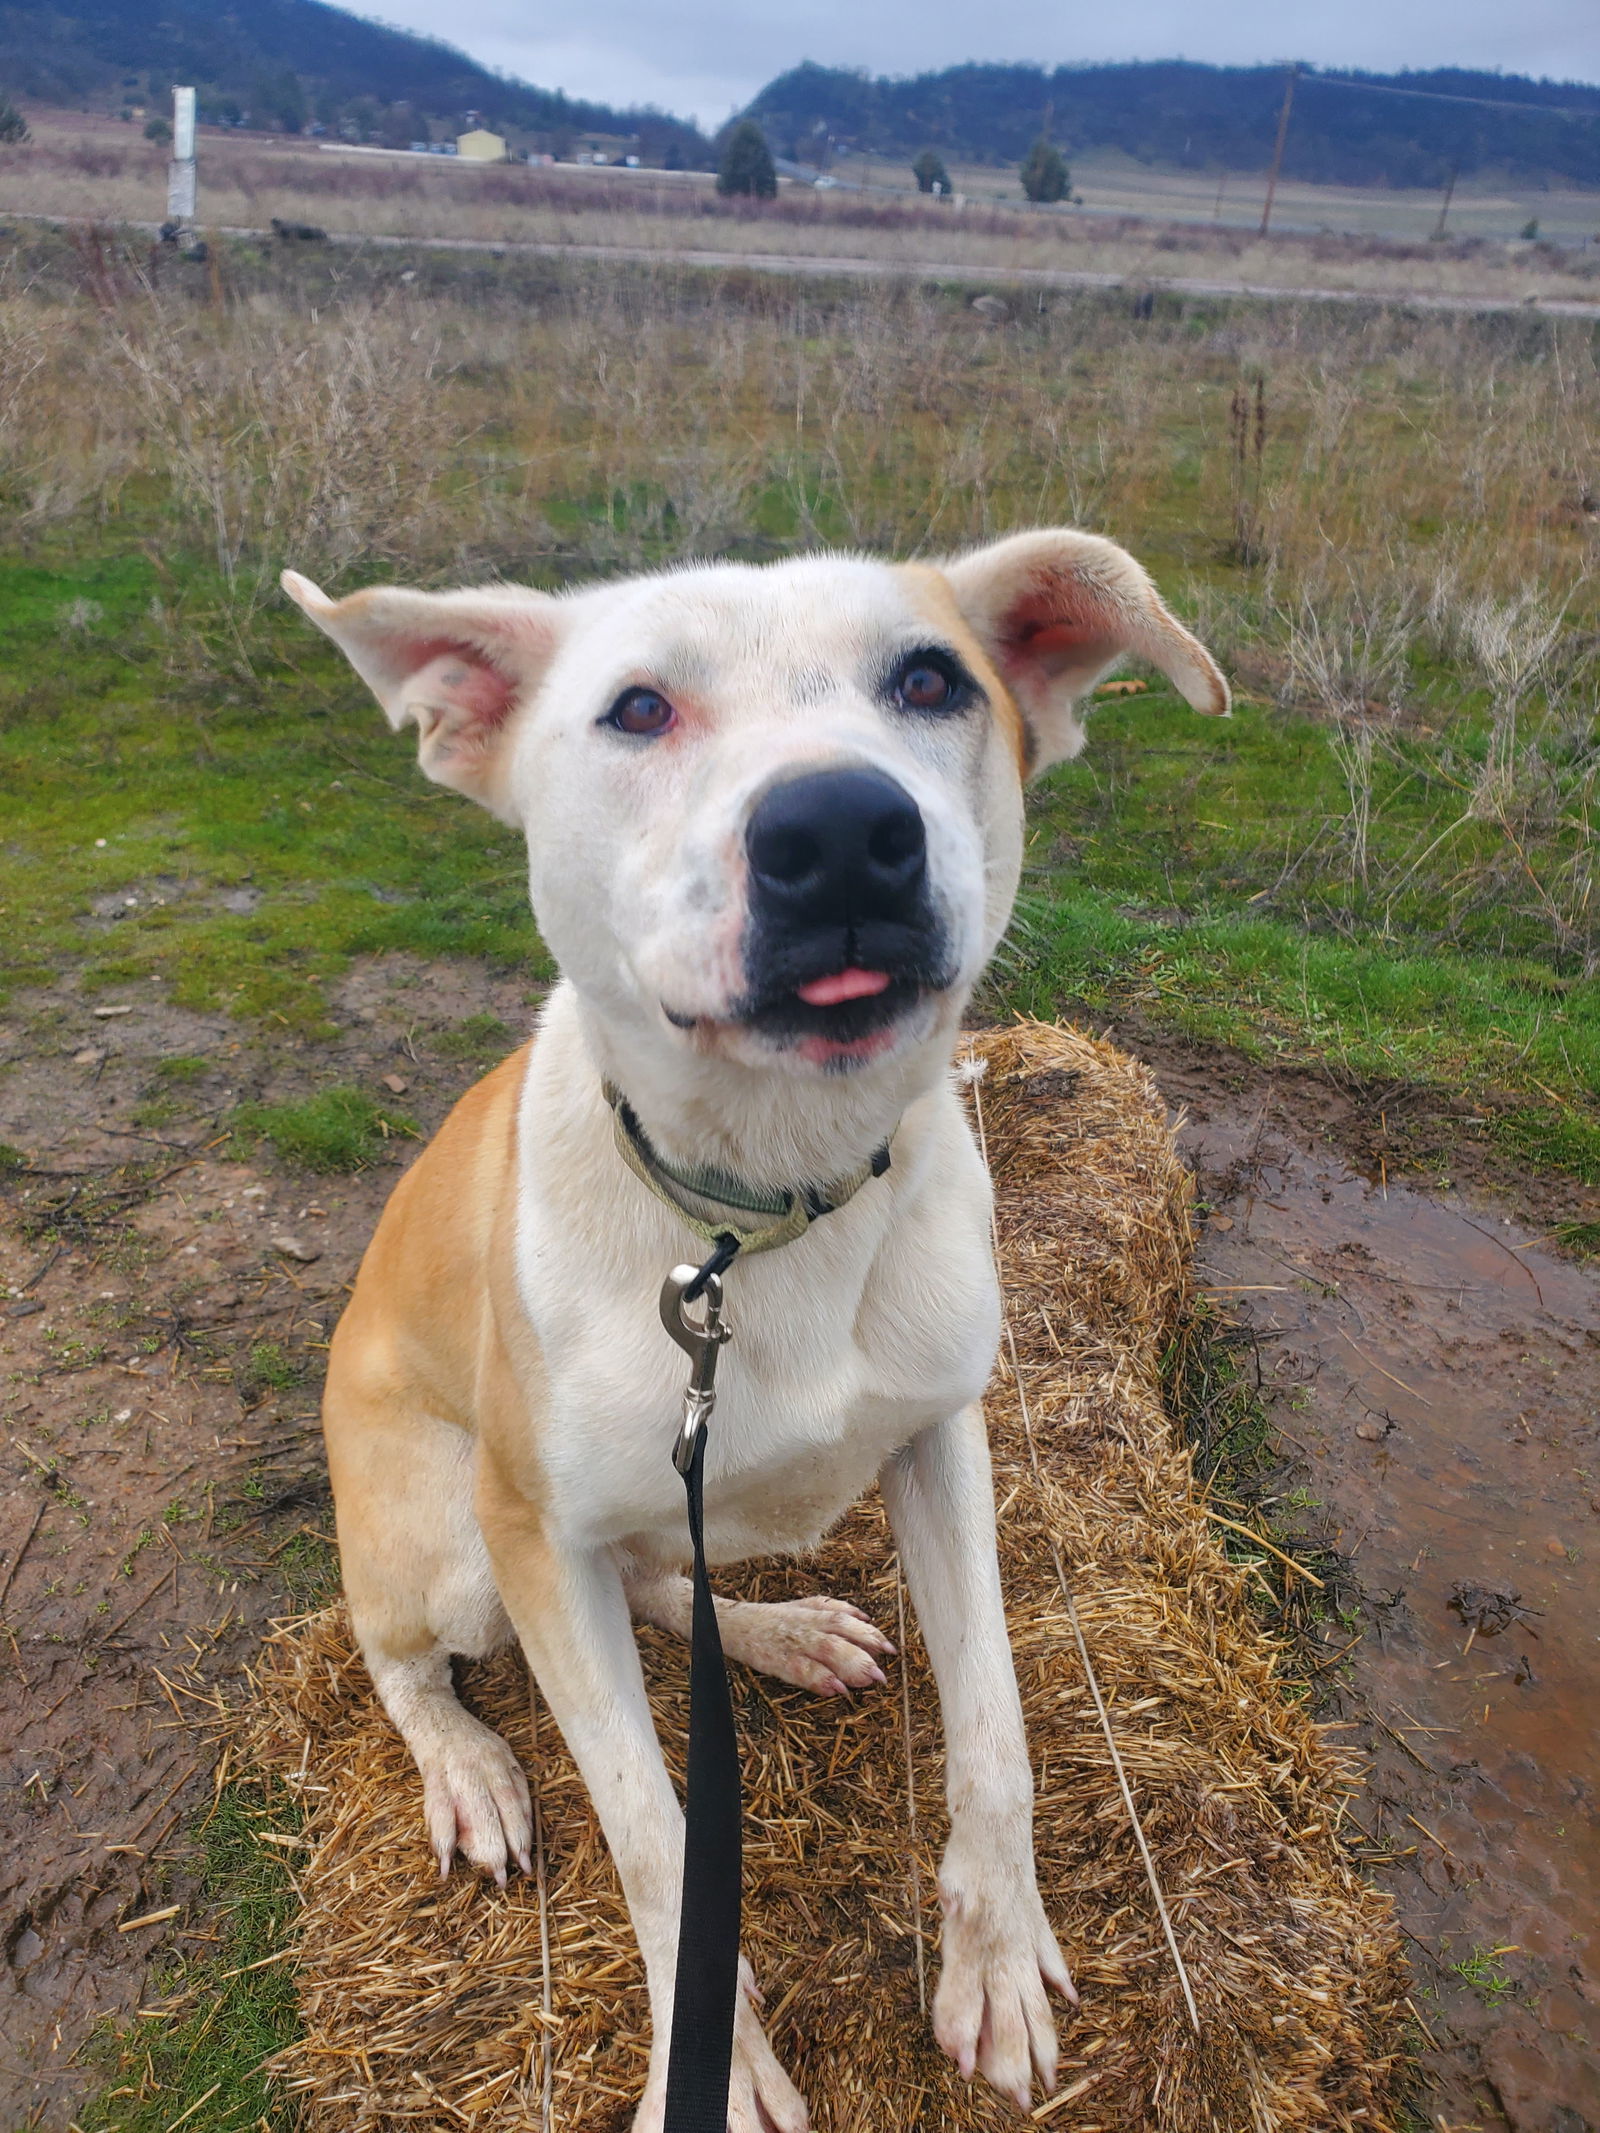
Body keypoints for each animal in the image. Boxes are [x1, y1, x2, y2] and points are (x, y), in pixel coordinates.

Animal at [285, 524, 1228, 2124]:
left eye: (932, 681)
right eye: (636, 709)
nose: (843, 831)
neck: (766, 1204)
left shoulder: (944, 1438)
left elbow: (995, 1727)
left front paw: (993, 1957)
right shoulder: (536, 1533)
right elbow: (659, 1840)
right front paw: (712, 2071)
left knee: (670, 1580)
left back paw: (783, 1634)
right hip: (452, 1546)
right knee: (408, 1659)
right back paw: (468, 1766)